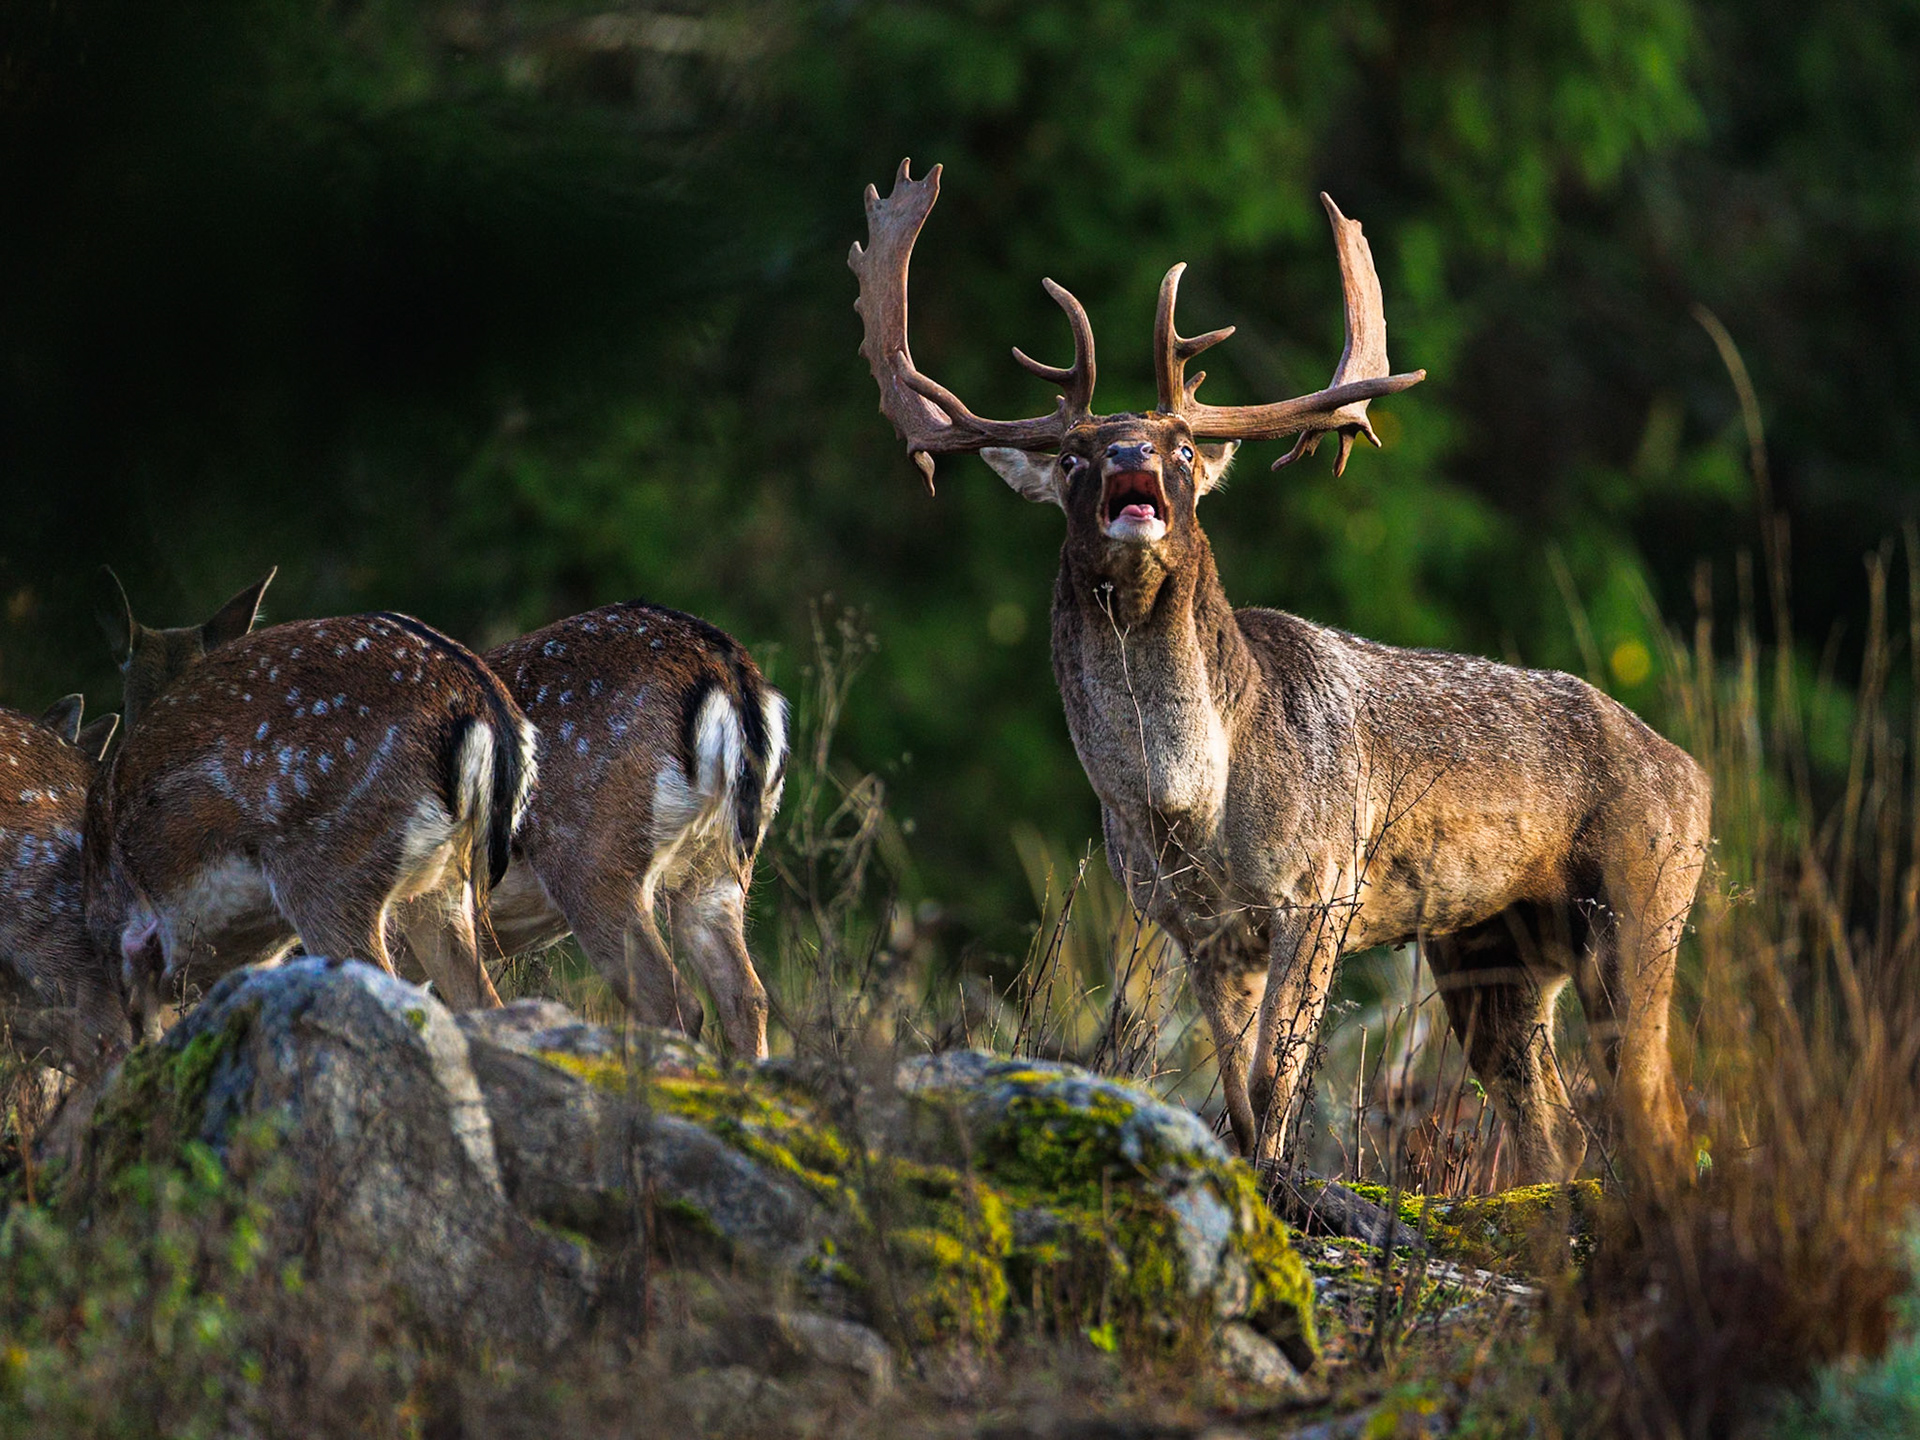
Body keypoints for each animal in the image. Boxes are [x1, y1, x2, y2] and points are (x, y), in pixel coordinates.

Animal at [851, 161, 1710, 1183]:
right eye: (1070, 456)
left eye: (1183, 447)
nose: (1131, 457)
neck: (1190, 803)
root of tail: (1695, 774)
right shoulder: (1194, 928)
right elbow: (1234, 1096)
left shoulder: (1324, 886)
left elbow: (1274, 1083)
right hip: (1489, 945)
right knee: (1553, 1125)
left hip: (1640, 901)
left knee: (1655, 1114)